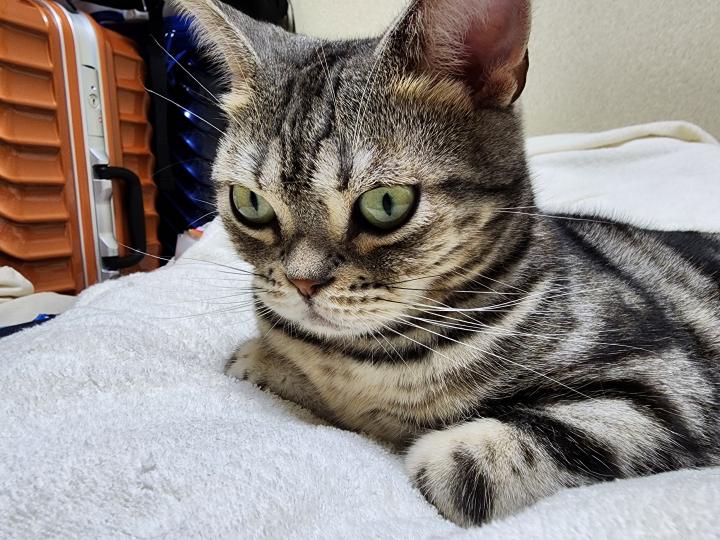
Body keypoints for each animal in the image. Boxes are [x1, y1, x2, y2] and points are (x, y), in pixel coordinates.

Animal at [175, 0, 720, 526]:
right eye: (249, 203)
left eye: (387, 204)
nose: (302, 282)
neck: (361, 359)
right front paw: (265, 361)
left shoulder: (670, 385)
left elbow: (471, 466)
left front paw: (445, 454)